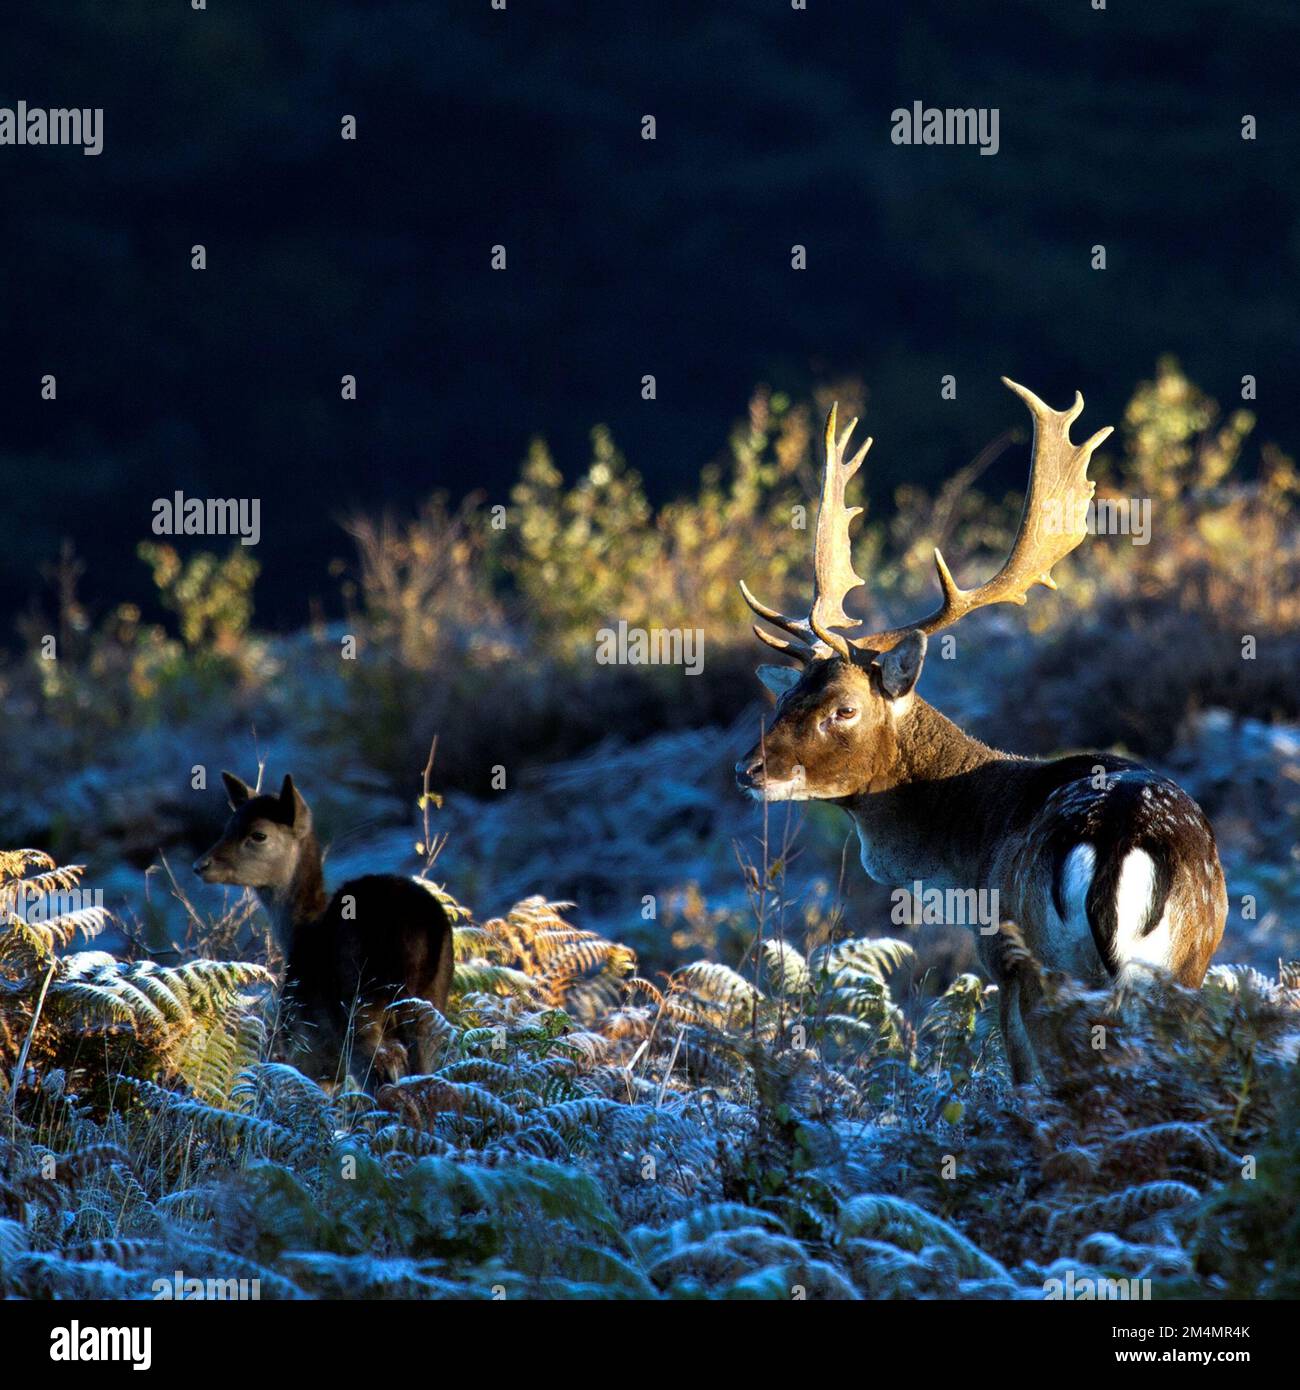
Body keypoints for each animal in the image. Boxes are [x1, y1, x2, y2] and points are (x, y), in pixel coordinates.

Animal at [193, 772, 456, 1084]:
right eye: (228, 826)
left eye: (258, 834)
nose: (201, 865)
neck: (298, 933)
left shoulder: (307, 1049)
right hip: (432, 1011)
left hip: (361, 1011)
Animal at [739, 380, 1223, 1084]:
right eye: (786, 696)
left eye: (844, 709)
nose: (748, 770)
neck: (963, 851)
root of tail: (1118, 847)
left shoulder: (997, 949)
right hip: (1184, 963)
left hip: (1046, 958)